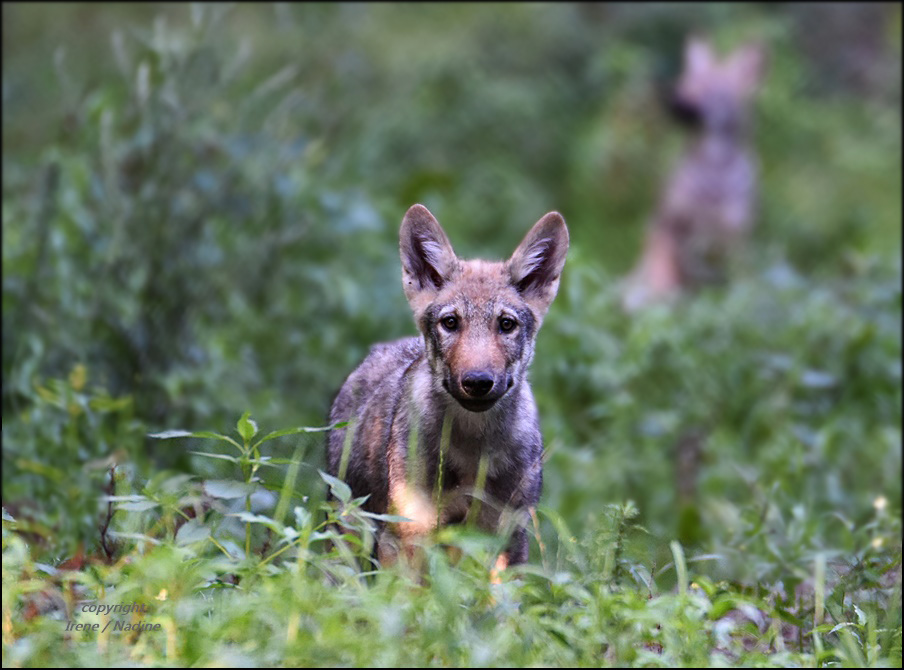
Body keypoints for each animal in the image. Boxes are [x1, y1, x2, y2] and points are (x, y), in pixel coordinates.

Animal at [328, 205, 568, 572]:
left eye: (506, 324)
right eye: (450, 323)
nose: (478, 381)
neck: (472, 449)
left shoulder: (507, 541)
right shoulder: (409, 534)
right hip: (351, 534)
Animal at [624, 36, 768, 310]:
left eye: (709, 90)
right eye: (686, 84)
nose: (672, 98)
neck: (713, 170)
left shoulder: (733, 240)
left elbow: (738, 289)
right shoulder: (667, 226)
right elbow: (664, 278)